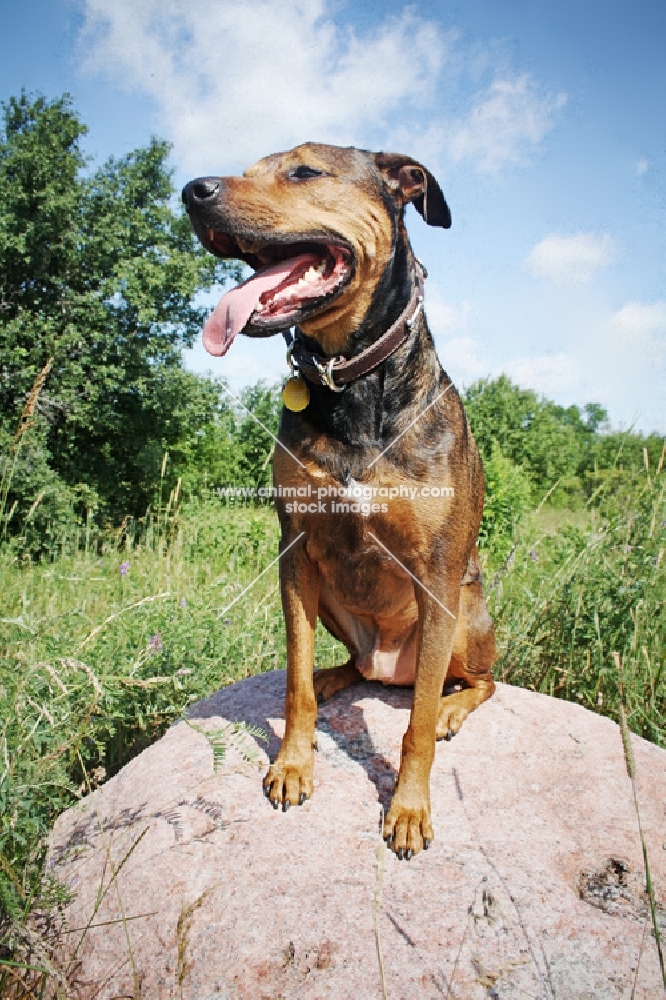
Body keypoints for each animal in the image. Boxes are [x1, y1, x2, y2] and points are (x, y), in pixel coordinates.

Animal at [182, 146, 492, 860]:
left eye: (304, 171)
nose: (191, 191)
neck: (348, 378)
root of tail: (390, 672)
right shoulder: (296, 552)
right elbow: (293, 681)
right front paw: (294, 764)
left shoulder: (438, 573)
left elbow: (416, 726)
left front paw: (408, 808)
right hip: (329, 602)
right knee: (353, 668)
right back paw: (337, 677)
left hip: (466, 614)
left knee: (474, 683)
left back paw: (453, 708)